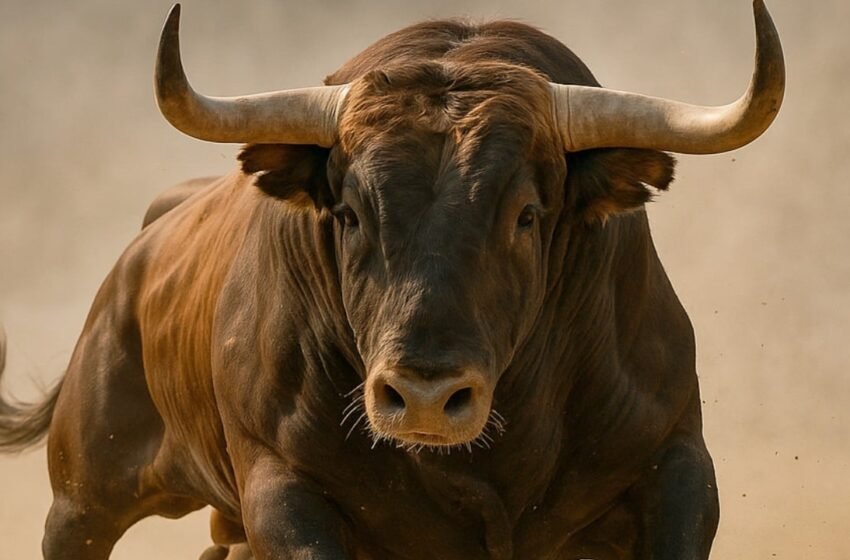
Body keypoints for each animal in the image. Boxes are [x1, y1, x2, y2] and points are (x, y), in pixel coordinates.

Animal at [0, 1, 784, 559]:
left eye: (527, 214)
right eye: (349, 213)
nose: (426, 398)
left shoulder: (679, 467)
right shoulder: (284, 491)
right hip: (82, 503)